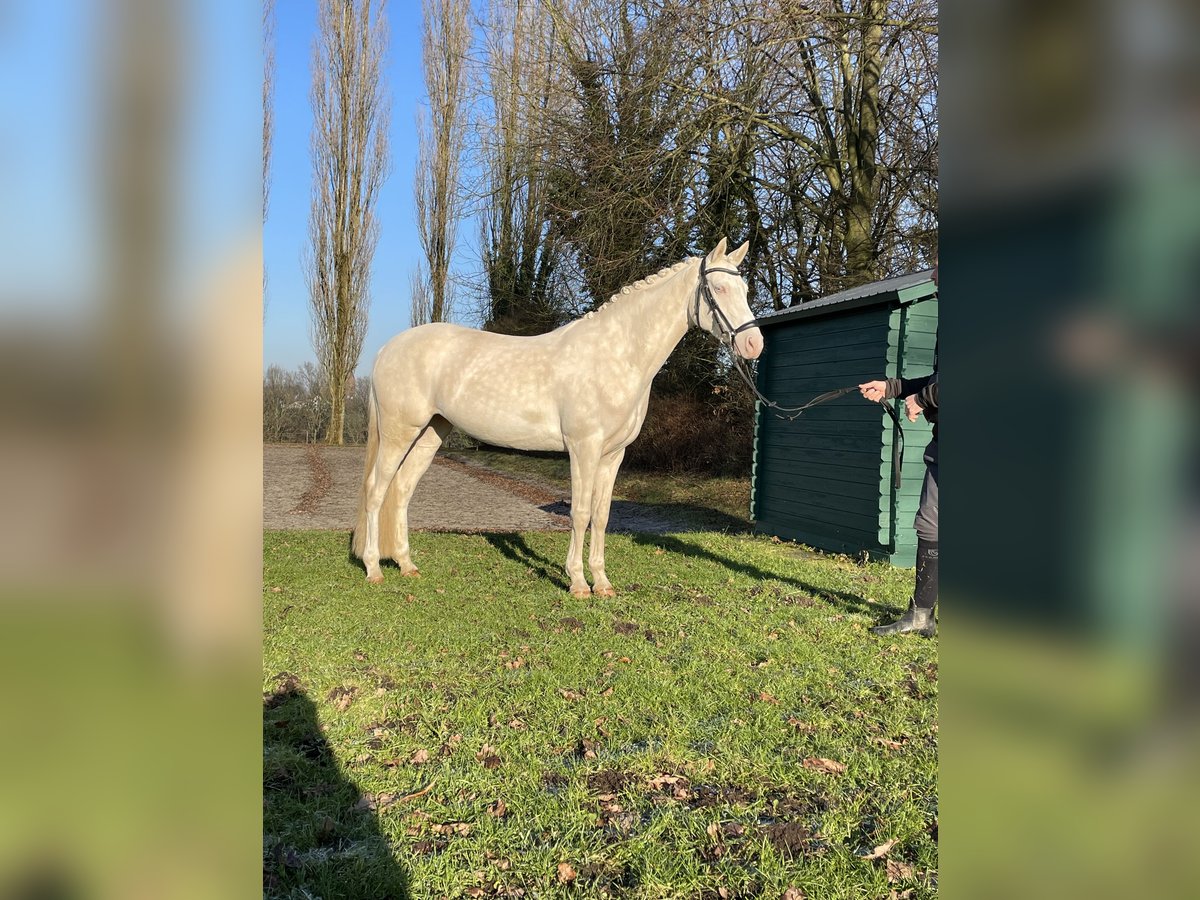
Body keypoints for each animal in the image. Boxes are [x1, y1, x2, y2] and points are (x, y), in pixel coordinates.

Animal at [350, 236, 758, 595]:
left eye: (745, 289)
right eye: (718, 288)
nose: (754, 344)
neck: (615, 355)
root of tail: (387, 349)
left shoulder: (613, 455)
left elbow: (602, 516)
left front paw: (602, 583)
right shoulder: (583, 449)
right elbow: (580, 513)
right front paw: (577, 583)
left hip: (432, 432)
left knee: (402, 490)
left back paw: (406, 565)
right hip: (399, 432)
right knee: (375, 490)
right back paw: (372, 569)